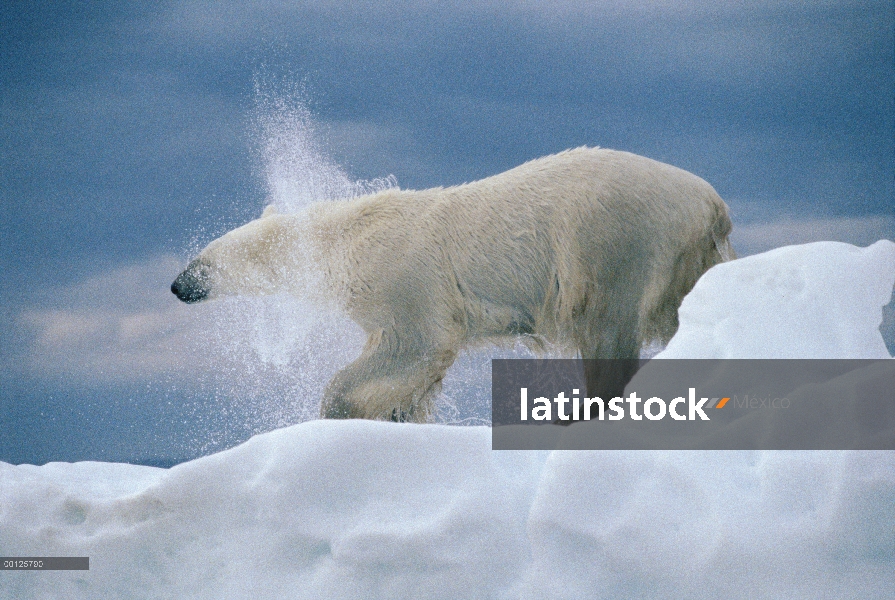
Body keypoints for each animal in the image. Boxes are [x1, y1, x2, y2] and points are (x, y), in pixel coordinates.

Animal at [172, 148, 732, 422]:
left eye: (204, 262)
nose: (177, 286)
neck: (342, 238)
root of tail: (711, 203)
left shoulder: (401, 278)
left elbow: (414, 343)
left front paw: (339, 409)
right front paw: (398, 415)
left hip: (611, 239)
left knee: (606, 326)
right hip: (686, 258)